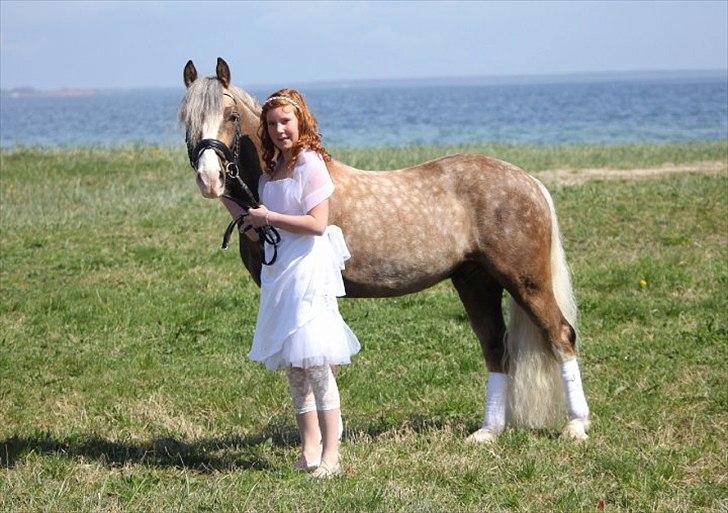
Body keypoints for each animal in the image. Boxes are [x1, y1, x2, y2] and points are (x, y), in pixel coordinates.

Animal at [179, 58, 591, 442]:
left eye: (231, 116)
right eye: (186, 119)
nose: (210, 179)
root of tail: (529, 181)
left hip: (526, 282)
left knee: (560, 335)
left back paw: (576, 426)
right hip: (476, 282)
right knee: (495, 348)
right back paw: (487, 432)